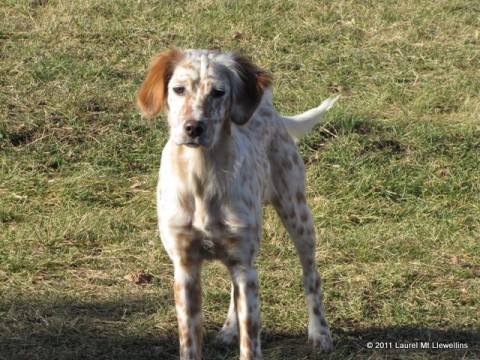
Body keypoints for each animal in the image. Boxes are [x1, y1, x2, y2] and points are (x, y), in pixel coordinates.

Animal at [137, 48, 340, 360]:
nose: (193, 127)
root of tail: (268, 107)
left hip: (297, 215)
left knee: (311, 276)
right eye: (179, 89)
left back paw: (319, 333)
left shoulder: (245, 265)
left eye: (218, 92)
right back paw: (230, 330)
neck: (202, 177)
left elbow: (251, 343)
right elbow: (190, 341)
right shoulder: (185, 268)